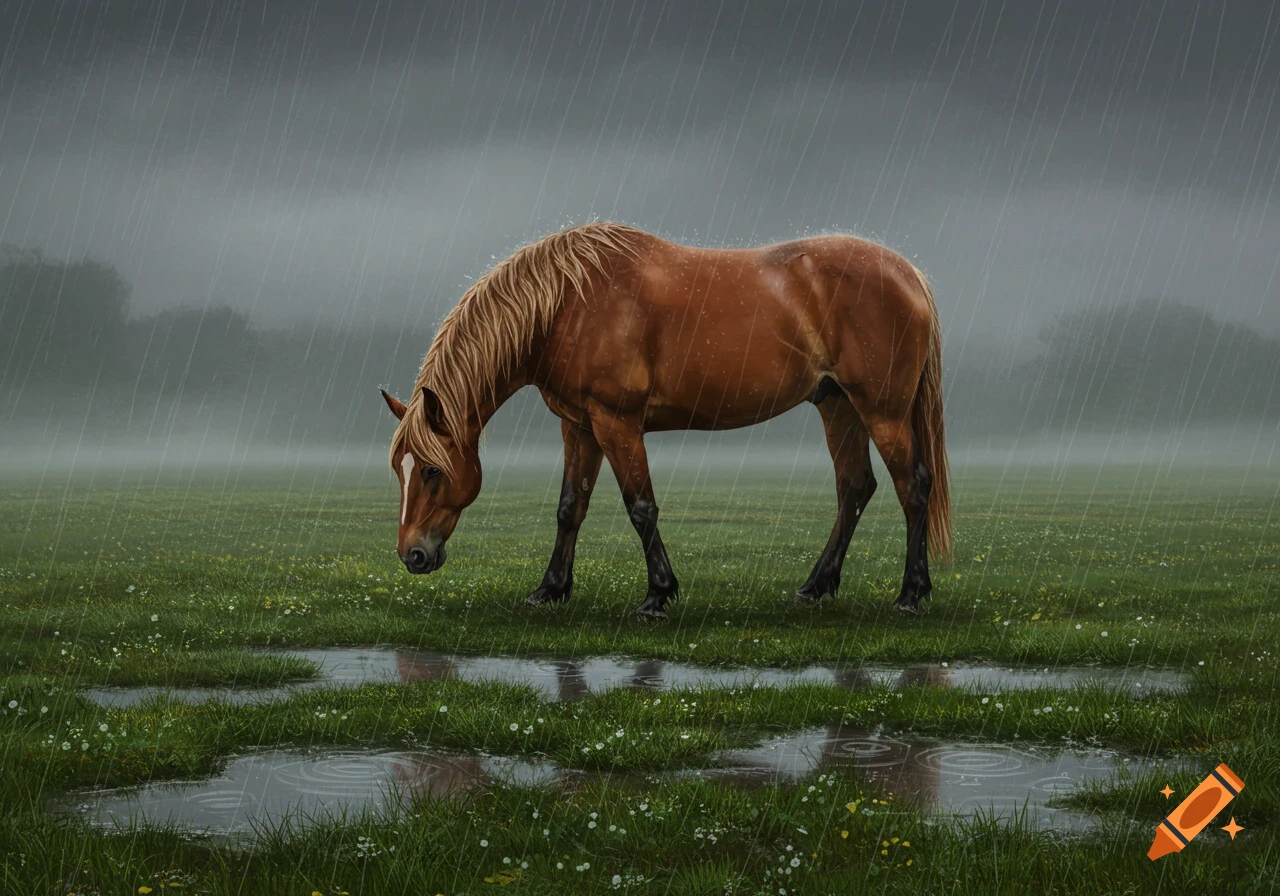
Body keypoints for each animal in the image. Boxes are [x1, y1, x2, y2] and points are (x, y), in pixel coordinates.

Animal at [381, 222, 951, 619]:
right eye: (400, 471)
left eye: (431, 470)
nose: (413, 556)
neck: (568, 303)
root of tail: (911, 275)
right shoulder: (580, 426)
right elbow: (570, 508)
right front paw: (550, 589)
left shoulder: (617, 423)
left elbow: (641, 507)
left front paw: (658, 595)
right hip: (838, 405)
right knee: (855, 487)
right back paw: (815, 587)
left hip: (882, 411)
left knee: (912, 486)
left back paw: (910, 595)